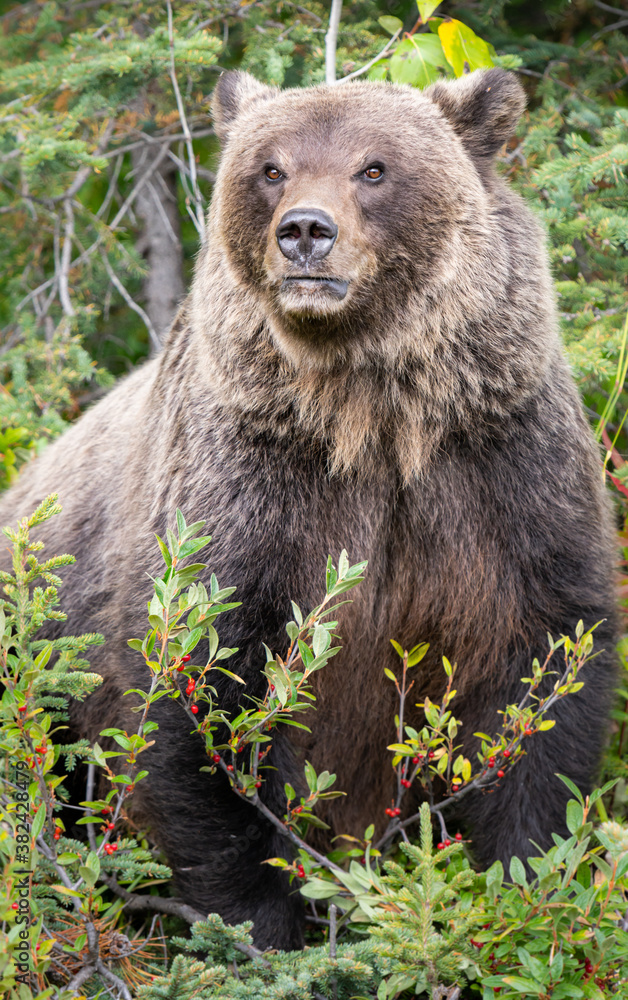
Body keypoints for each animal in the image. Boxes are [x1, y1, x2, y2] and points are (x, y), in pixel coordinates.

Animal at [0, 67, 617, 950]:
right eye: (271, 167)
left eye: (374, 167)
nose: (304, 232)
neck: (370, 418)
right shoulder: (248, 495)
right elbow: (199, 692)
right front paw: (264, 926)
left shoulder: (501, 477)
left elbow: (539, 674)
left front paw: (515, 884)